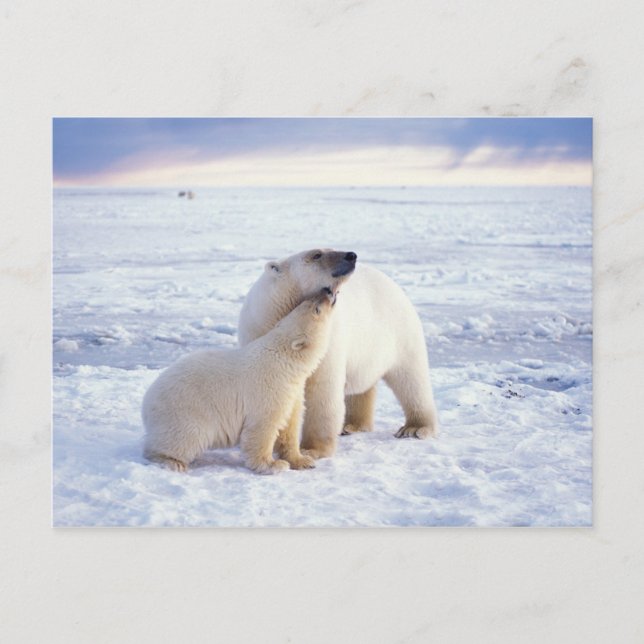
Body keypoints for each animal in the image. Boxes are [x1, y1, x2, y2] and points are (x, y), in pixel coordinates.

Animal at [142, 289, 337, 474]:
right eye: (316, 308)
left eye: (306, 302)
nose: (328, 291)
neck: (284, 360)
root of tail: (146, 403)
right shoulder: (269, 388)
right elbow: (263, 427)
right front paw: (273, 465)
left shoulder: (292, 391)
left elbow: (289, 425)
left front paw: (303, 461)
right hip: (185, 413)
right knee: (185, 438)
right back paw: (172, 462)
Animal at [237, 249, 438, 459]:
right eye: (316, 254)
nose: (351, 255)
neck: (280, 312)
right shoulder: (258, 333)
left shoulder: (327, 339)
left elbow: (322, 390)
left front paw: (312, 449)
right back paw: (352, 425)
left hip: (401, 333)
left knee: (411, 379)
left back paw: (414, 428)